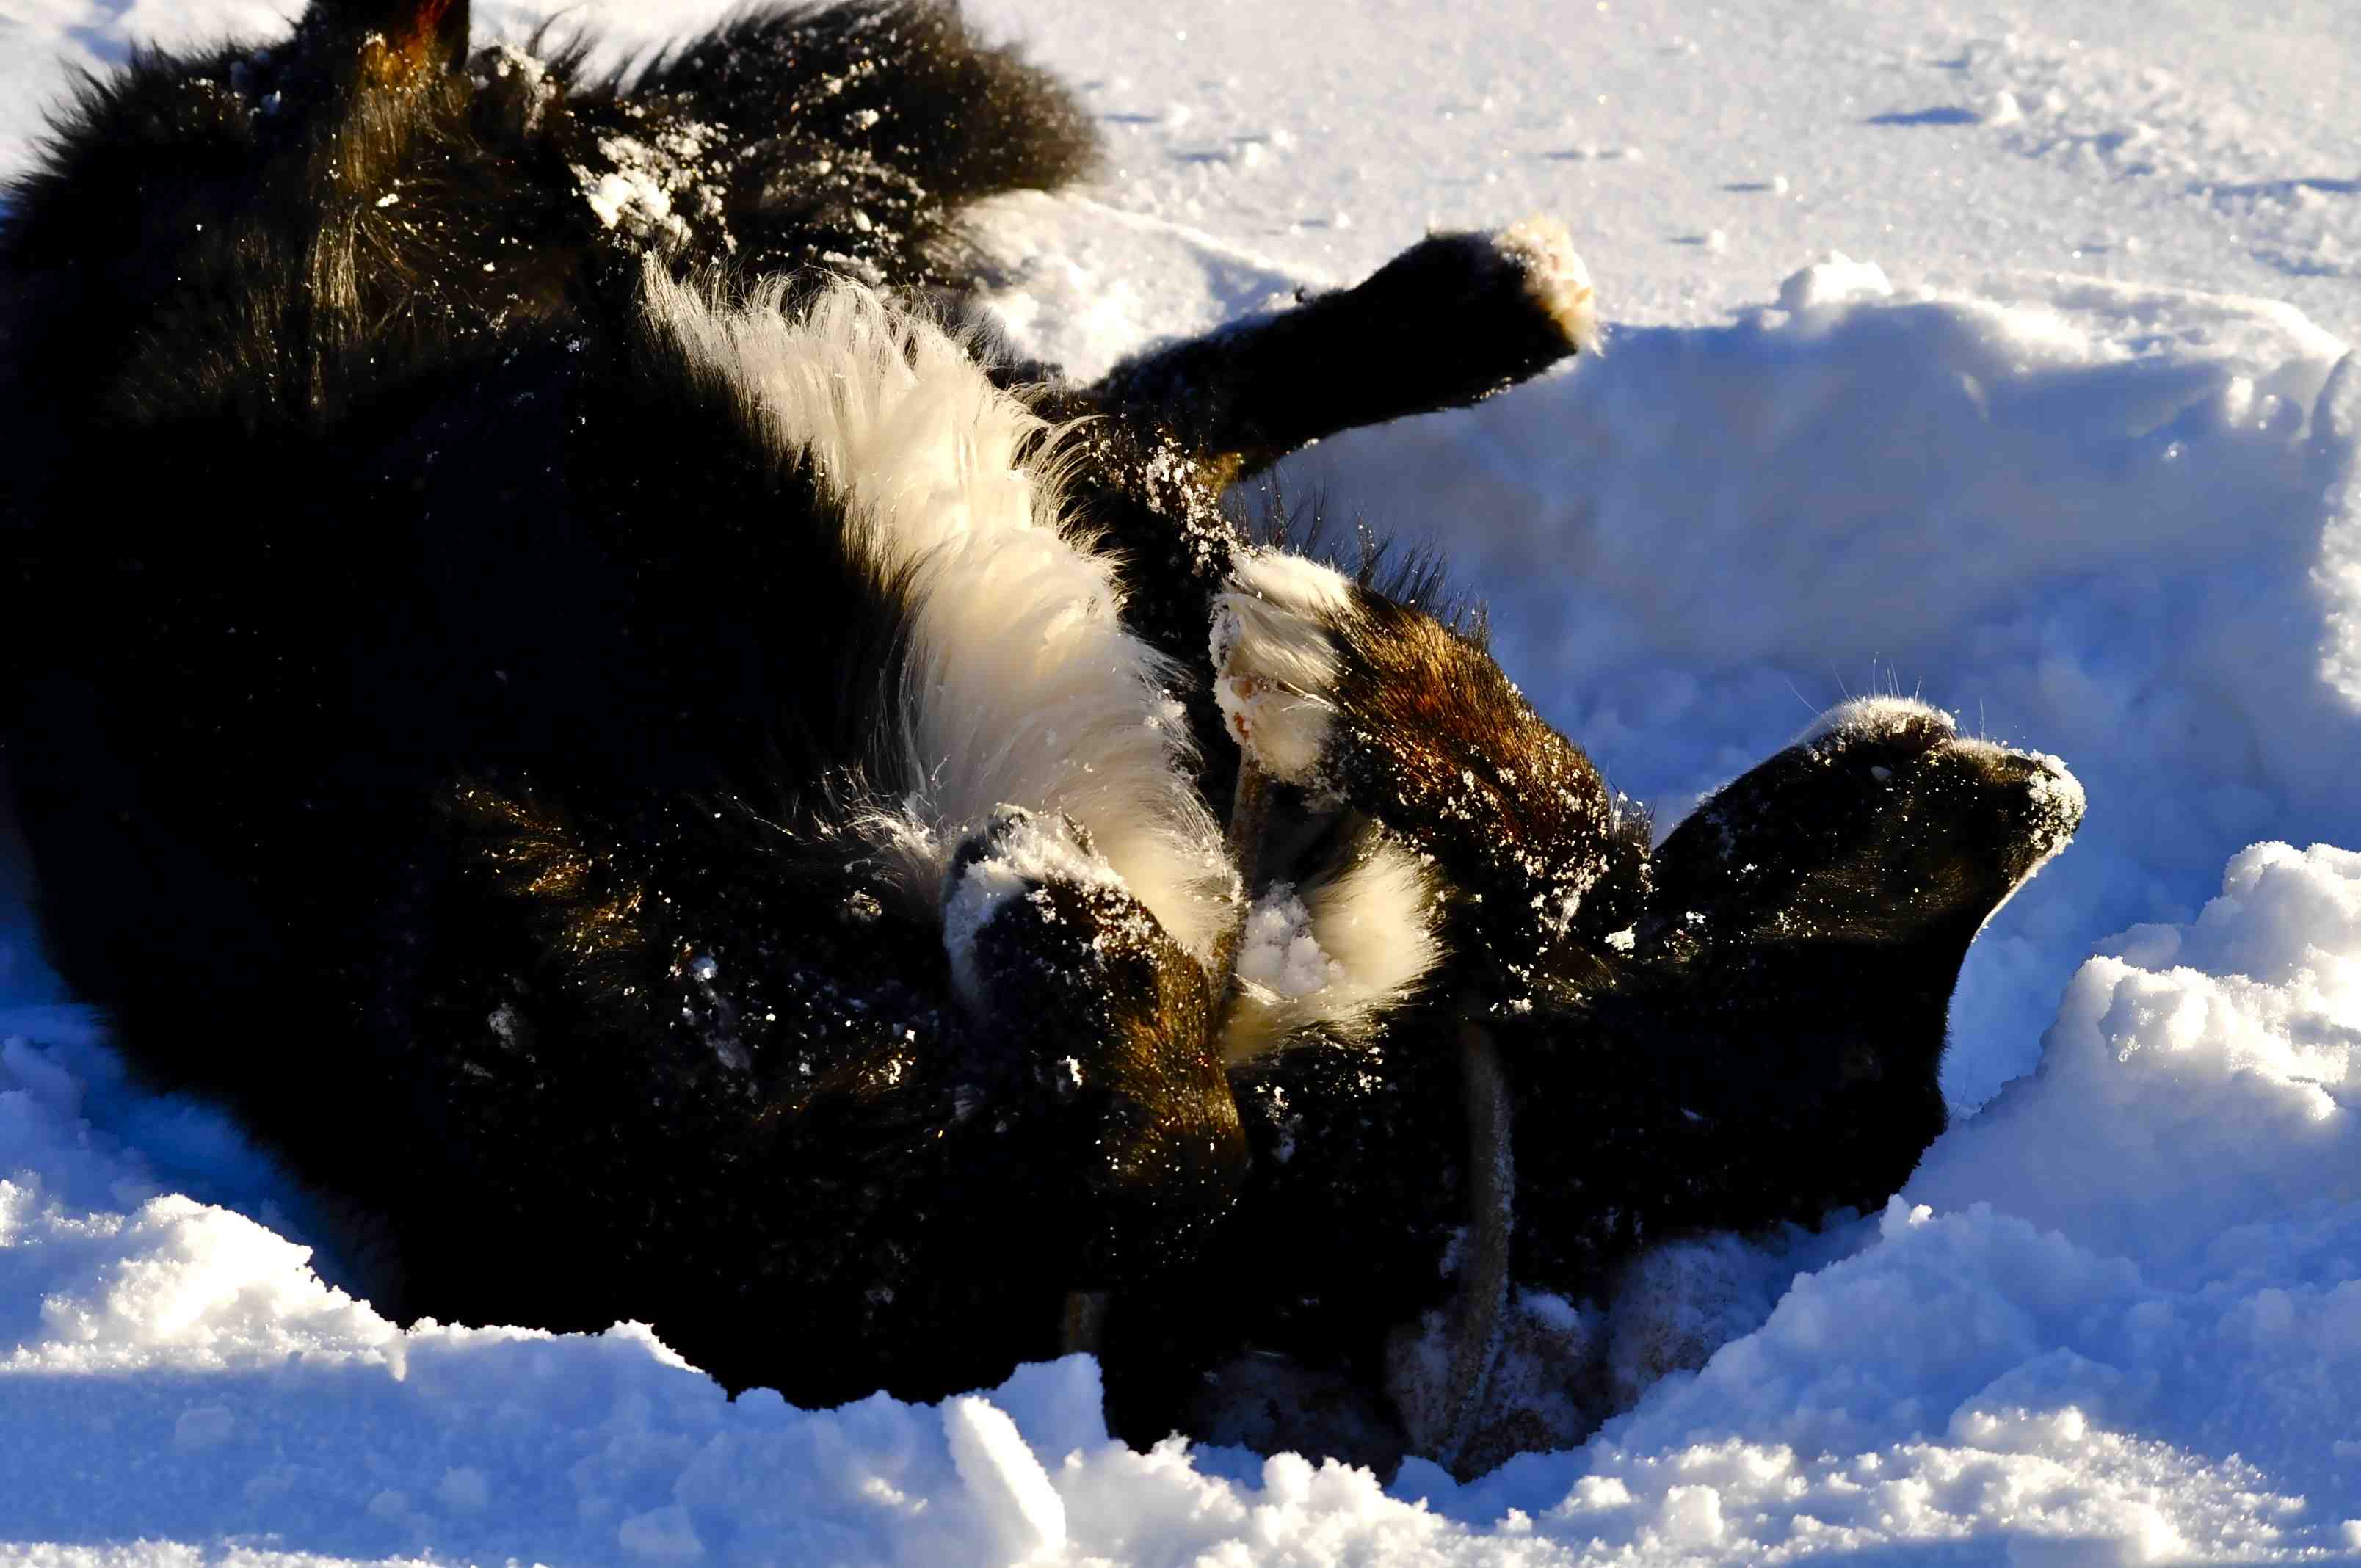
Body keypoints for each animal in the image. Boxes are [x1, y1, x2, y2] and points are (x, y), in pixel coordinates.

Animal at [0, 0, 2078, 1473]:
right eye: (1895, 845)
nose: (2039, 789)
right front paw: (1340, 668)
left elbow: (1156, 1149)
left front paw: (1085, 910)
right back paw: (1480, 304)